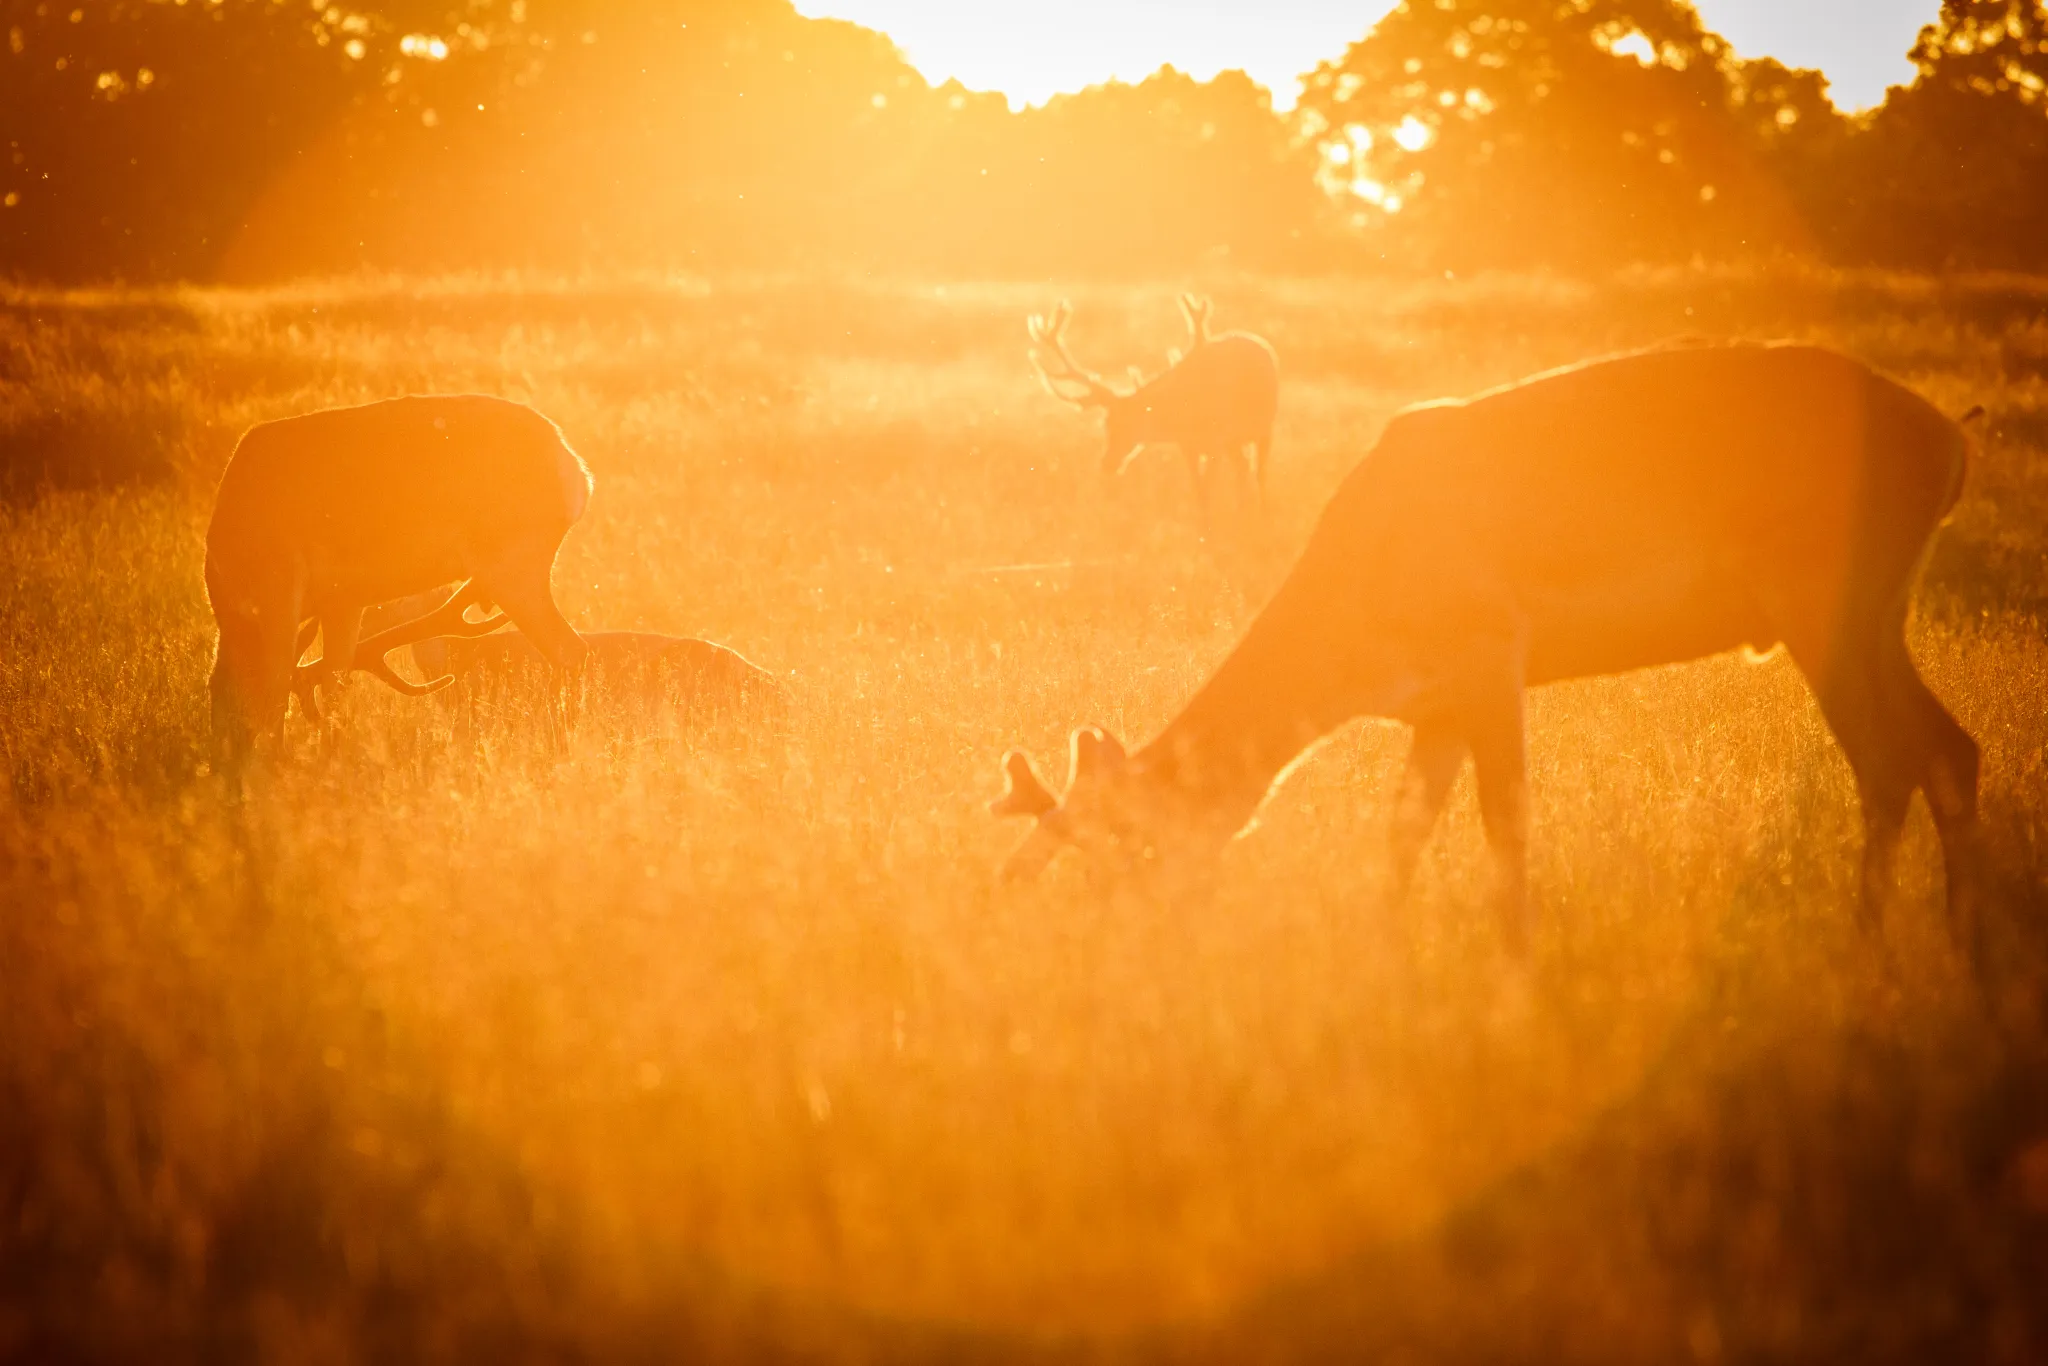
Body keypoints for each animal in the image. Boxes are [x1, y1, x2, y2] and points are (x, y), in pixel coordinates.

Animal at [205, 394, 593, 761]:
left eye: (219, 697)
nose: (223, 757)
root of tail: (578, 471)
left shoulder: (280, 579)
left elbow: (277, 681)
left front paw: (278, 762)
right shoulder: (343, 599)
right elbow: (334, 684)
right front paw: (330, 759)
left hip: (511, 563)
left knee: (570, 651)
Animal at [990, 341, 1987, 969]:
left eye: (1128, 850)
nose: (1117, 951)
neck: (1350, 638)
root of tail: (1954, 442)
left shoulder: (1490, 644)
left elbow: (1505, 820)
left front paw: (1516, 971)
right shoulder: (1431, 706)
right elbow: (1403, 833)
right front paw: (1384, 959)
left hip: (1827, 596)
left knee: (1889, 760)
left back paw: (1870, 949)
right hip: (1880, 610)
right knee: (1951, 748)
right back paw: (1960, 949)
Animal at [1029, 295, 1279, 526]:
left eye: (1132, 422)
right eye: (1106, 423)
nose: (1107, 463)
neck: (1183, 414)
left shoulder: (1216, 440)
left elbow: (1207, 489)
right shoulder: (1188, 446)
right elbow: (1199, 491)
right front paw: (1205, 528)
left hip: (1263, 428)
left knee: (1259, 473)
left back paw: (1263, 517)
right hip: (1234, 442)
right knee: (1243, 469)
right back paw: (1243, 513)